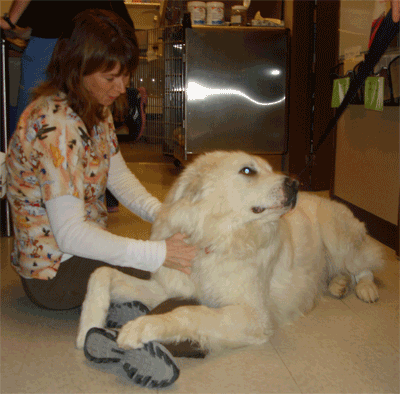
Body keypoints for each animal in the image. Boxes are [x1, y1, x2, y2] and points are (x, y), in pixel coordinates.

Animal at [76, 152, 384, 354]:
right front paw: (88, 326)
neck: (218, 237)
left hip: (339, 239)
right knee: (341, 272)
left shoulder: (253, 316)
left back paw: (366, 289)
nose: (295, 184)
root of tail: (325, 196)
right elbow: (101, 273)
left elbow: (189, 311)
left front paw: (140, 327)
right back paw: (338, 285)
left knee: (365, 264)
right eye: (248, 171)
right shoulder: (163, 289)